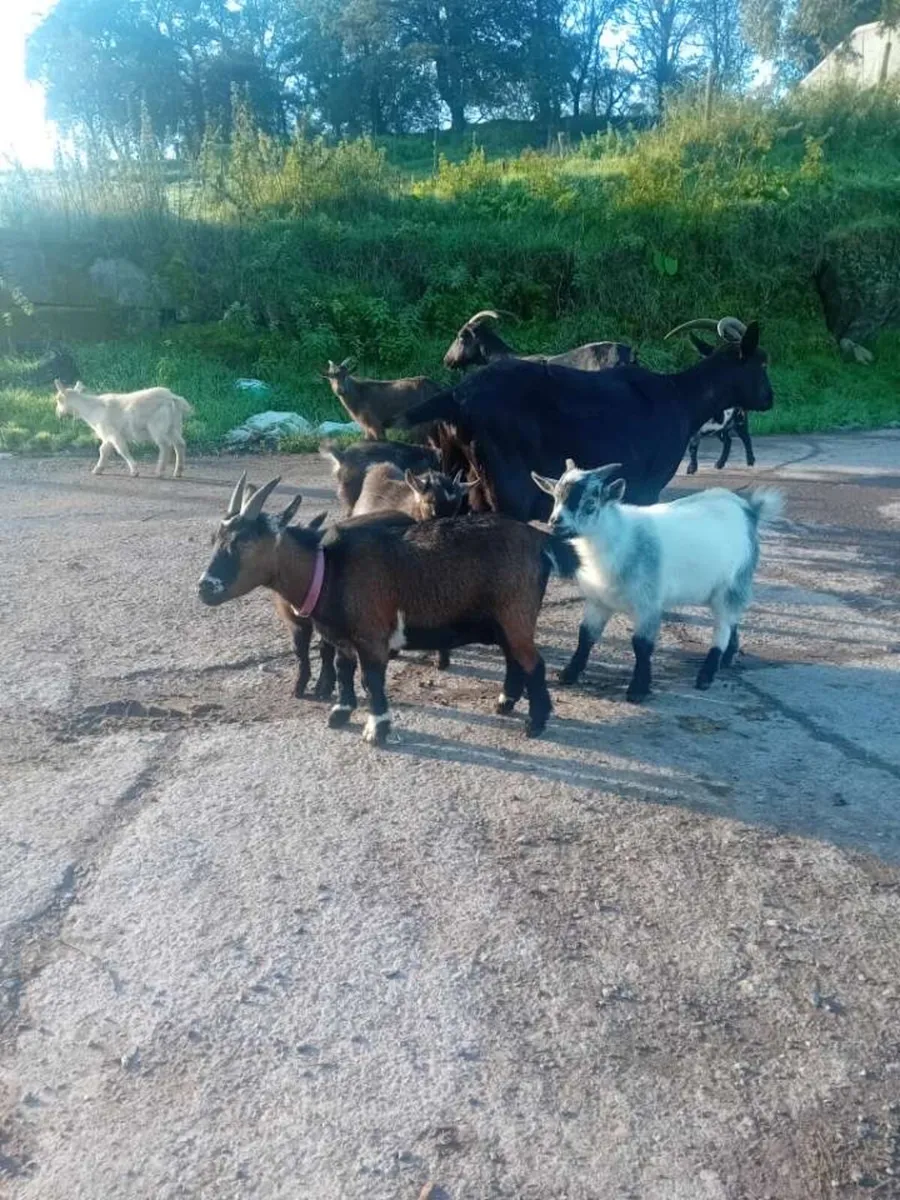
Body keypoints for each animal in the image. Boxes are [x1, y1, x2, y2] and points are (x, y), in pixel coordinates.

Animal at [54, 379, 192, 477]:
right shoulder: (107, 434)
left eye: (59, 399)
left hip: (158, 425)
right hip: (173, 425)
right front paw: (98, 469)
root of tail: (172, 398)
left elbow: (122, 450)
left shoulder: (113, 433)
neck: (93, 408)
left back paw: (159, 471)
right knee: (180, 444)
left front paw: (134, 471)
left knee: (165, 445)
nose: (58, 414)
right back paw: (178, 471)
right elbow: (103, 450)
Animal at [199, 475, 579, 744]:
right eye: (215, 540)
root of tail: (538, 541)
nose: (204, 587)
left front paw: (376, 730)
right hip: (503, 619)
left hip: (516, 612)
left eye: (244, 541)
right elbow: (343, 671)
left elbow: (372, 680)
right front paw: (340, 712)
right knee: (515, 658)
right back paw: (505, 702)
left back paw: (535, 723)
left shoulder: (371, 635)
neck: (328, 568)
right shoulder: (343, 639)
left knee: (533, 662)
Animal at [531, 460, 783, 700]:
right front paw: (569, 673)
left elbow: (641, 645)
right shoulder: (598, 601)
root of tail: (749, 510)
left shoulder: (648, 603)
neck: (620, 540)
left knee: (722, 627)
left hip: (732, 583)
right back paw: (728, 657)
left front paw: (638, 688)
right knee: (732, 620)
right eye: (555, 496)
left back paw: (707, 674)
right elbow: (585, 636)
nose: (555, 522)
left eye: (591, 502)